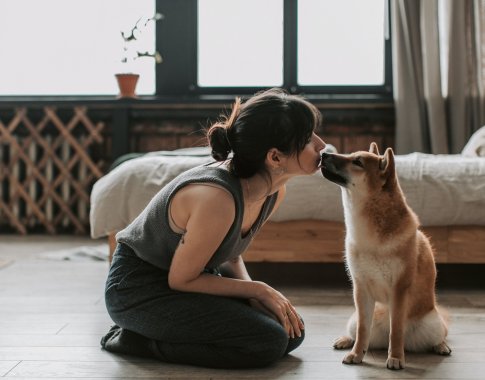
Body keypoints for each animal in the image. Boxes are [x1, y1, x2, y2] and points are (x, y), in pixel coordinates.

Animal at [322, 142, 450, 368]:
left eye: (357, 161)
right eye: (350, 155)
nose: (323, 154)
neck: (370, 237)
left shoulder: (399, 289)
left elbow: (396, 330)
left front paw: (396, 357)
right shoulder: (361, 289)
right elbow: (363, 330)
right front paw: (357, 354)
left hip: (432, 323)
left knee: (439, 335)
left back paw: (441, 346)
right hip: (355, 317)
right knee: (358, 332)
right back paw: (346, 340)